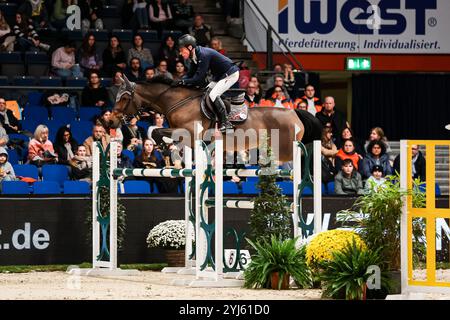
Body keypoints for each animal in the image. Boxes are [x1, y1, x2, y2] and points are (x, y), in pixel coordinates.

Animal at [109, 75, 322, 162]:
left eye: (125, 98)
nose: (110, 121)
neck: (178, 102)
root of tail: (294, 112)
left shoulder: (190, 133)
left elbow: (156, 130)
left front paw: (163, 144)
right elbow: (155, 129)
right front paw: (164, 146)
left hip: (284, 149)